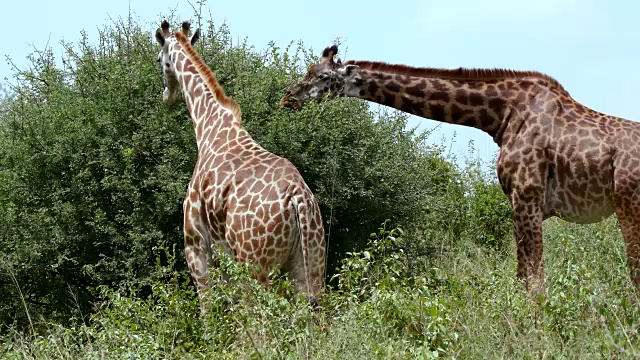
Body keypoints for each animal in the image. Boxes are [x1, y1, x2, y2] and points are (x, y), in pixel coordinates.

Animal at [154, 21, 324, 312]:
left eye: (158, 59)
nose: (167, 96)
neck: (207, 126)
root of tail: (299, 198)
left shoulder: (196, 245)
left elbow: (209, 310)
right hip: (310, 264)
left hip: (255, 265)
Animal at [278, 45, 640, 292]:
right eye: (309, 69)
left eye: (323, 77)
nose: (287, 98)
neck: (501, 115)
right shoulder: (523, 202)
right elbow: (524, 276)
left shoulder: (526, 196)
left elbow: (532, 281)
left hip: (628, 207)